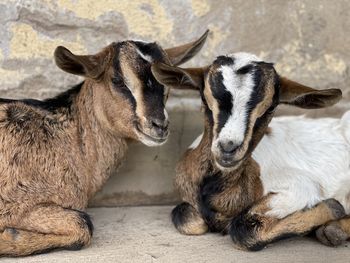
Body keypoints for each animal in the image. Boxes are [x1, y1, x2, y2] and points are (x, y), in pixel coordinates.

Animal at [0, 29, 208, 256]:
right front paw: (9, 236)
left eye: (165, 83)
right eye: (117, 80)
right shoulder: (15, 202)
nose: (159, 125)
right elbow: (82, 224)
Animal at [152, 52, 348, 252]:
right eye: (205, 98)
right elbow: (186, 219)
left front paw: (333, 207)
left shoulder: (302, 187)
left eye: (270, 107)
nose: (228, 148)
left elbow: (242, 228)